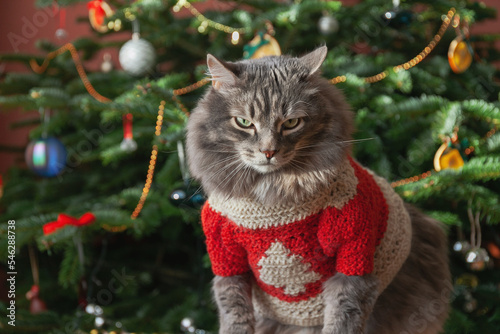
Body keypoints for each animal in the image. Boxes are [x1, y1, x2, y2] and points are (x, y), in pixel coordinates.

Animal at [186, 47, 452, 334]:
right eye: (244, 122)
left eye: (291, 122)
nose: (268, 152)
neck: (272, 194)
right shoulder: (228, 263)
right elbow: (234, 316)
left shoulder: (353, 259)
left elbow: (343, 320)